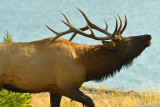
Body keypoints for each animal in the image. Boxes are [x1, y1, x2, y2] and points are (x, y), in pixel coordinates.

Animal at [0, 8, 151, 107]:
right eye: (127, 41)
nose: (148, 36)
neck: (85, 65)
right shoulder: (66, 86)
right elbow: (91, 101)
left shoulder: (54, 89)